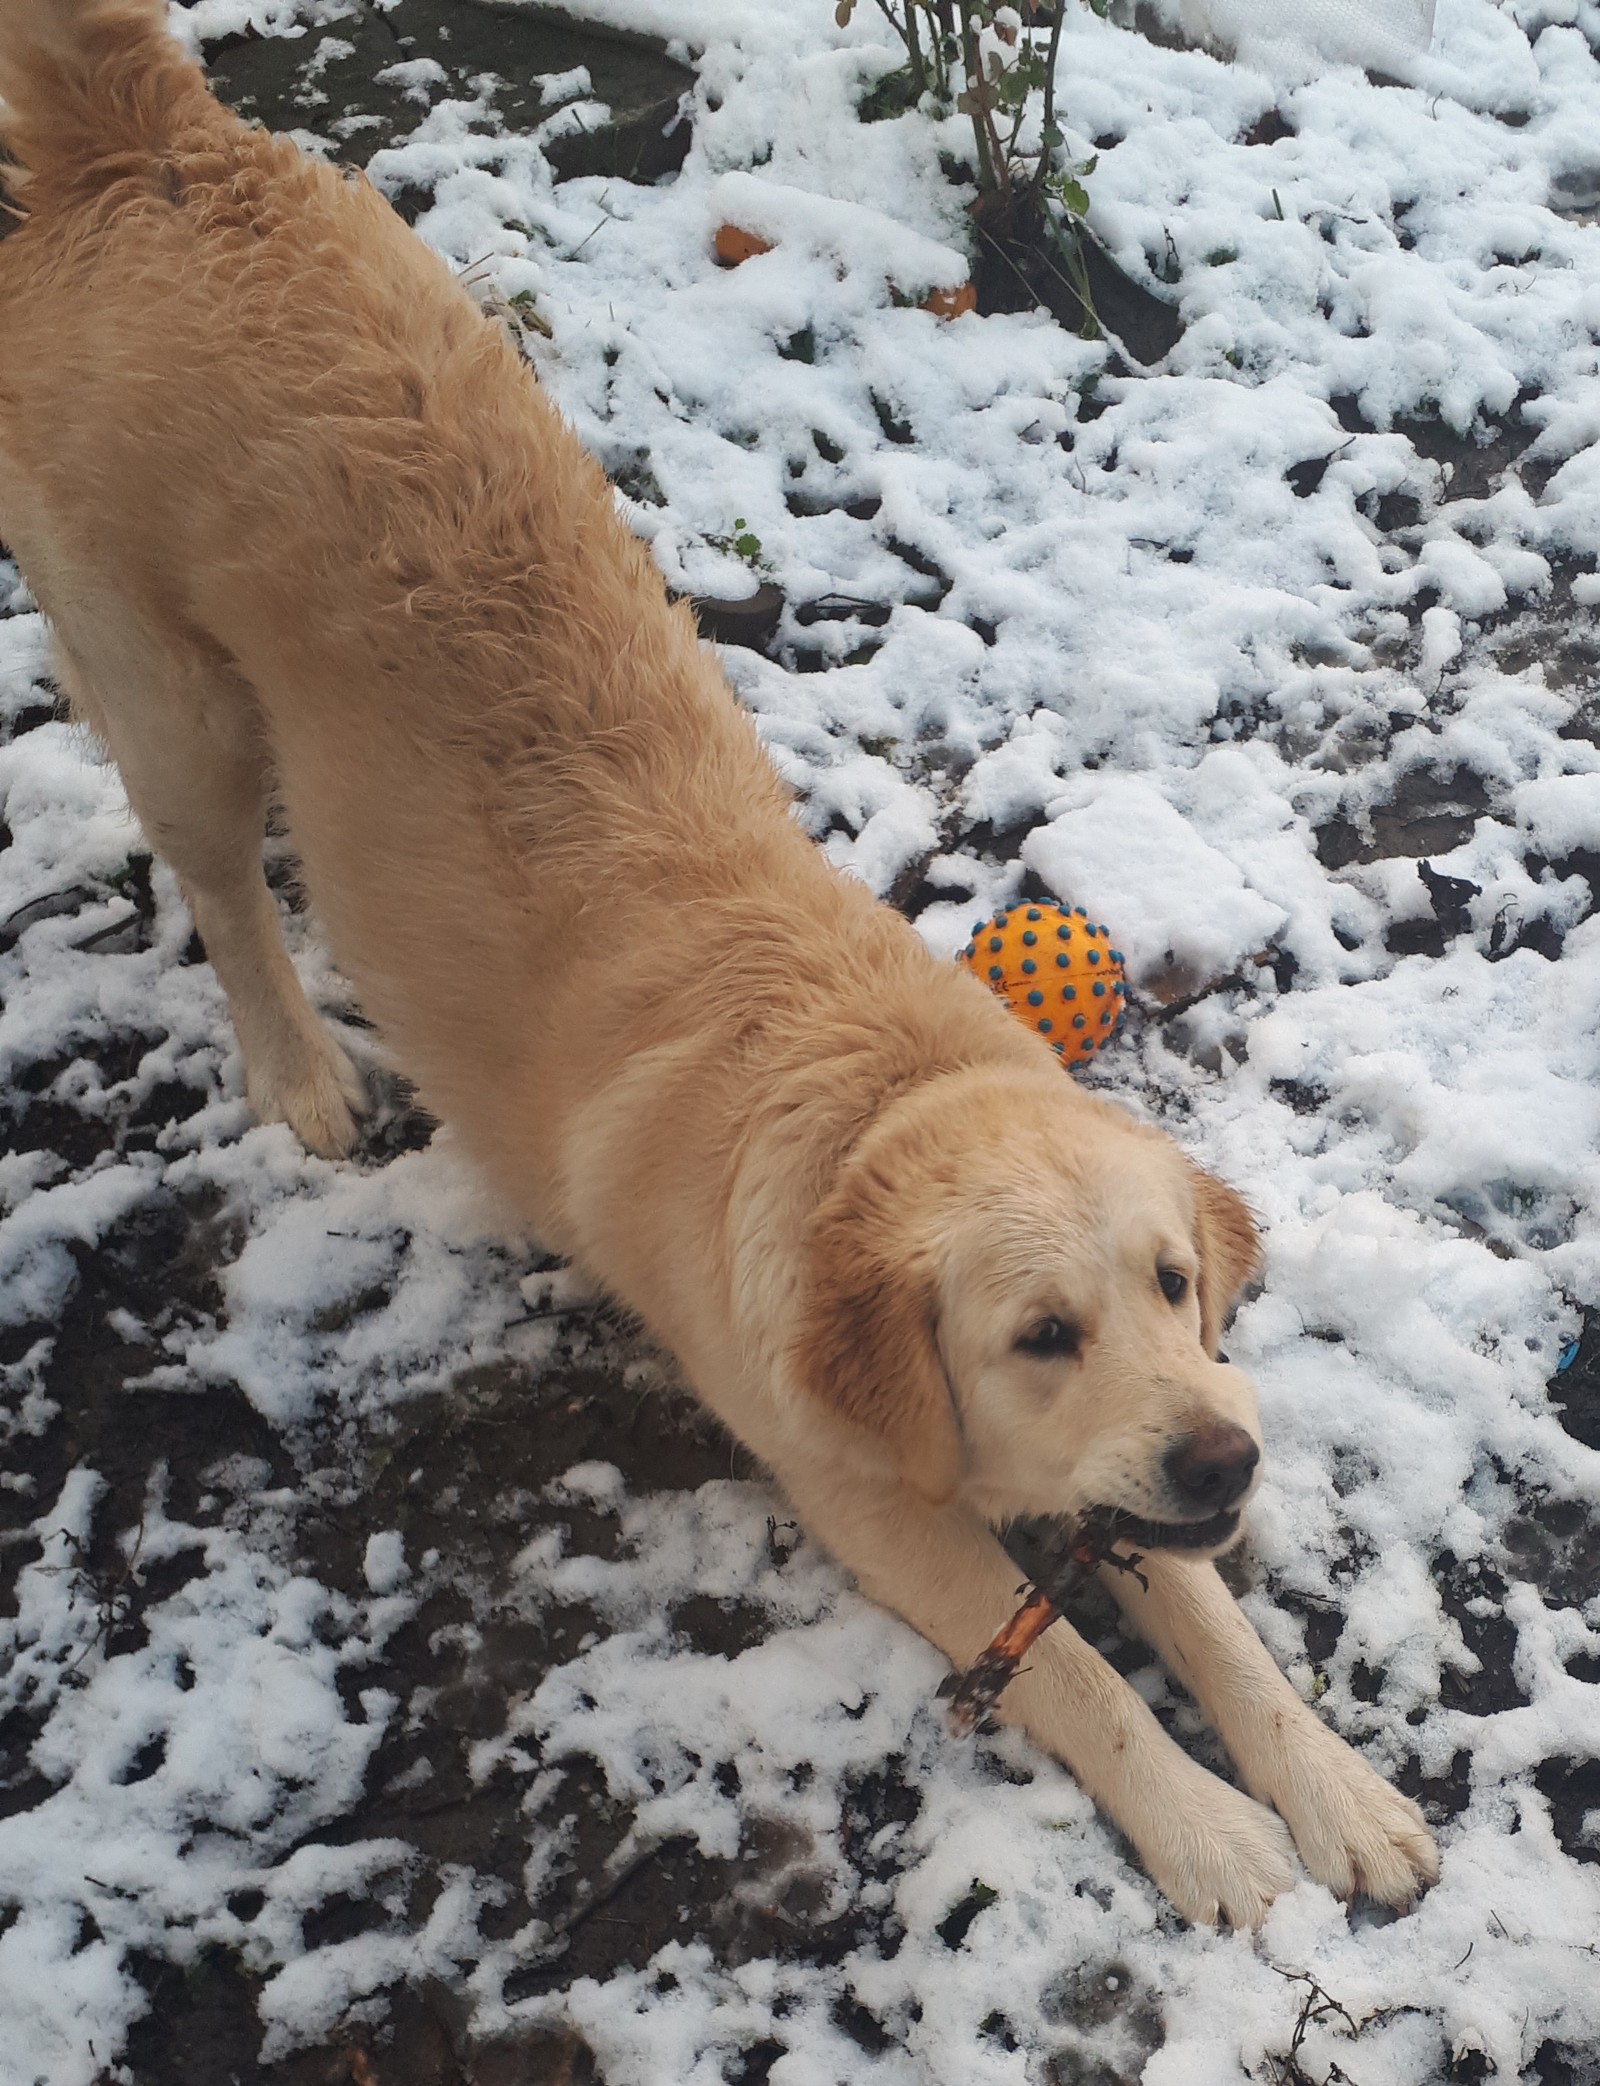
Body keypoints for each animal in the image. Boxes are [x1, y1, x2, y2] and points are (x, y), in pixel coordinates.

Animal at [0, 0, 1435, 1927]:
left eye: (1171, 1286)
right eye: (1038, 1333)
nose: (1232, 1456)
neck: (871, 1094)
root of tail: (146, 133)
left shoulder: (1132, 1471)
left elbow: (1215, 1628)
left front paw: (1331, 1789)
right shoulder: (865, 1494)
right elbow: (1064, 1663)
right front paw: (1208, 1829)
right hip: (170, 690)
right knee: (221, 886)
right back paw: (298, 1067)